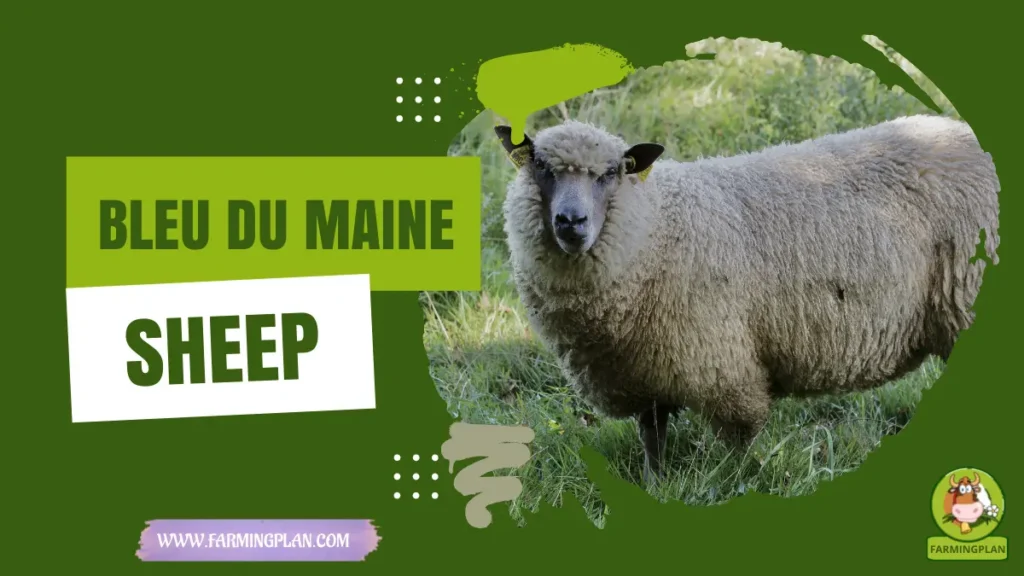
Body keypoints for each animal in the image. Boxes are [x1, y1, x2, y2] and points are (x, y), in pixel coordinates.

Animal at [492, 114, 1000, 483]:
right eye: (541, 168)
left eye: (612, 172)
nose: (571, 222)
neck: (657, 226)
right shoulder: (643, 370)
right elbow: (652, 435)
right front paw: (656, 484)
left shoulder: (721, 363)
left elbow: (739, 437)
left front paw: (736, 480)